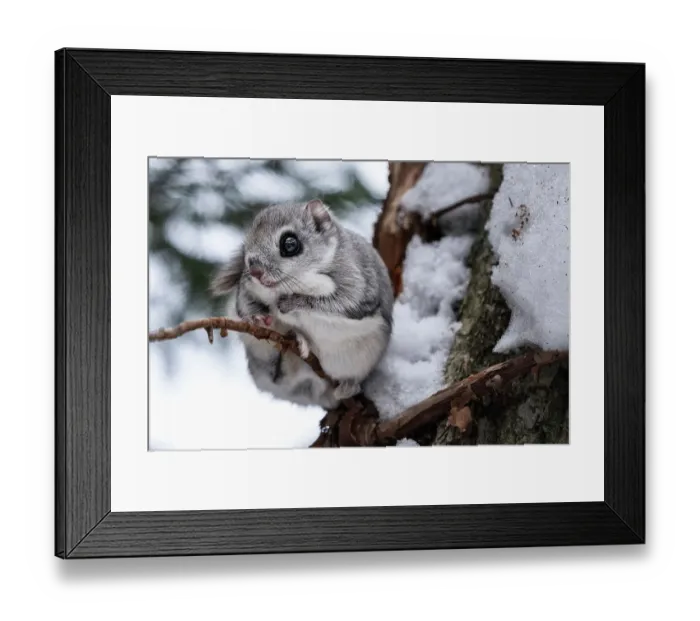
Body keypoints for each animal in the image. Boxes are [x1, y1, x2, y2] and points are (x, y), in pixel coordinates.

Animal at [211, 199, 394, 404]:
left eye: (290, 243)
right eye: (246, 245)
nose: (255, 271)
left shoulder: (358, 284)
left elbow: (340, 303)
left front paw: (290, 304)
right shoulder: (247, 286)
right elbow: (243, 303)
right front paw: (256, 317)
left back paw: (347, 386)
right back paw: (297, 341)